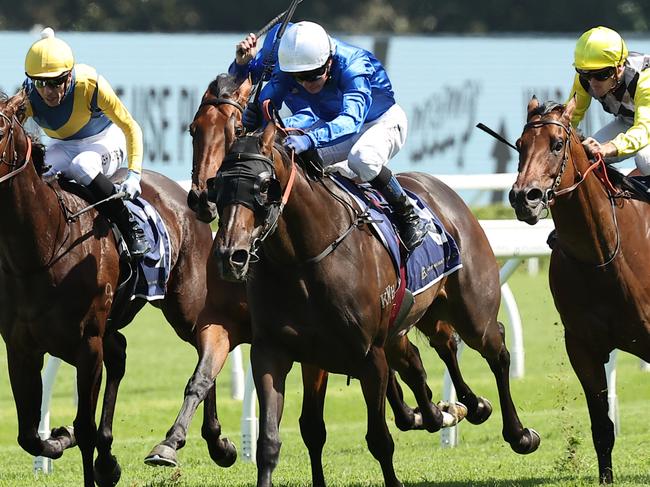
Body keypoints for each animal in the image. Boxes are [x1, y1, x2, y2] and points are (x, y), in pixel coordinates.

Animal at [0, 90, 223, 484]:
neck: (42, 248)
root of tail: (186, 194)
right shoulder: (20, 346)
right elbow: (29, 435)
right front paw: (61, 438)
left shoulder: (87, 342)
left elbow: (84, 428)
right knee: (119, 352)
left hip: (186, 304)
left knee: (205, 343)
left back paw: (208, 442)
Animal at [215, 119, 540, 487]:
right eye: (216, 186)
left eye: (262, 186)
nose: (230, 256)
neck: (303, 260)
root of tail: (444, 192)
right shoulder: (280, 353)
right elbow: (286, 436)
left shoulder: (369, 356)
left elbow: (379, 439)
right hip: (417, 317)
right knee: (433, 351)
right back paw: (461, 408)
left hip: (472, 312)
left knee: (495, 349)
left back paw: (518, 434)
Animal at [508, 95, 644, 484]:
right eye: (520, 145)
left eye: (557, 144)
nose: (525, 198)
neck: (603, 256)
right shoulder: (582, 347)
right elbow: (602, 428)